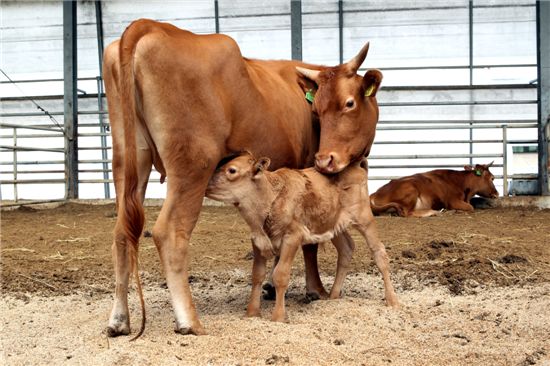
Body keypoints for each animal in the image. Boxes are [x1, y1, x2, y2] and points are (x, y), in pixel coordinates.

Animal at [207, 151, 402, 320]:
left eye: (232, 170)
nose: (207, 184)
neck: (270, 199)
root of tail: (356, 166)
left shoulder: (293, 236)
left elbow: (280, 275)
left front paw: (278, 317)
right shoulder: (257, 240)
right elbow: (257, 275)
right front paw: (252, 313)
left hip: (364, 218)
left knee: (379, 253)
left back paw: (392, 300)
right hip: (333, 224)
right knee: (347, 248)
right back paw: (333, 297)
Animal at [370, 163, 500, 217]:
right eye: (492, 178)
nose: (497, 193)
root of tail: (374, 193)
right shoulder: (453, 201)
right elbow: (471, 207)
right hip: (411, 190)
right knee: (407, 213)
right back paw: (434, 212)